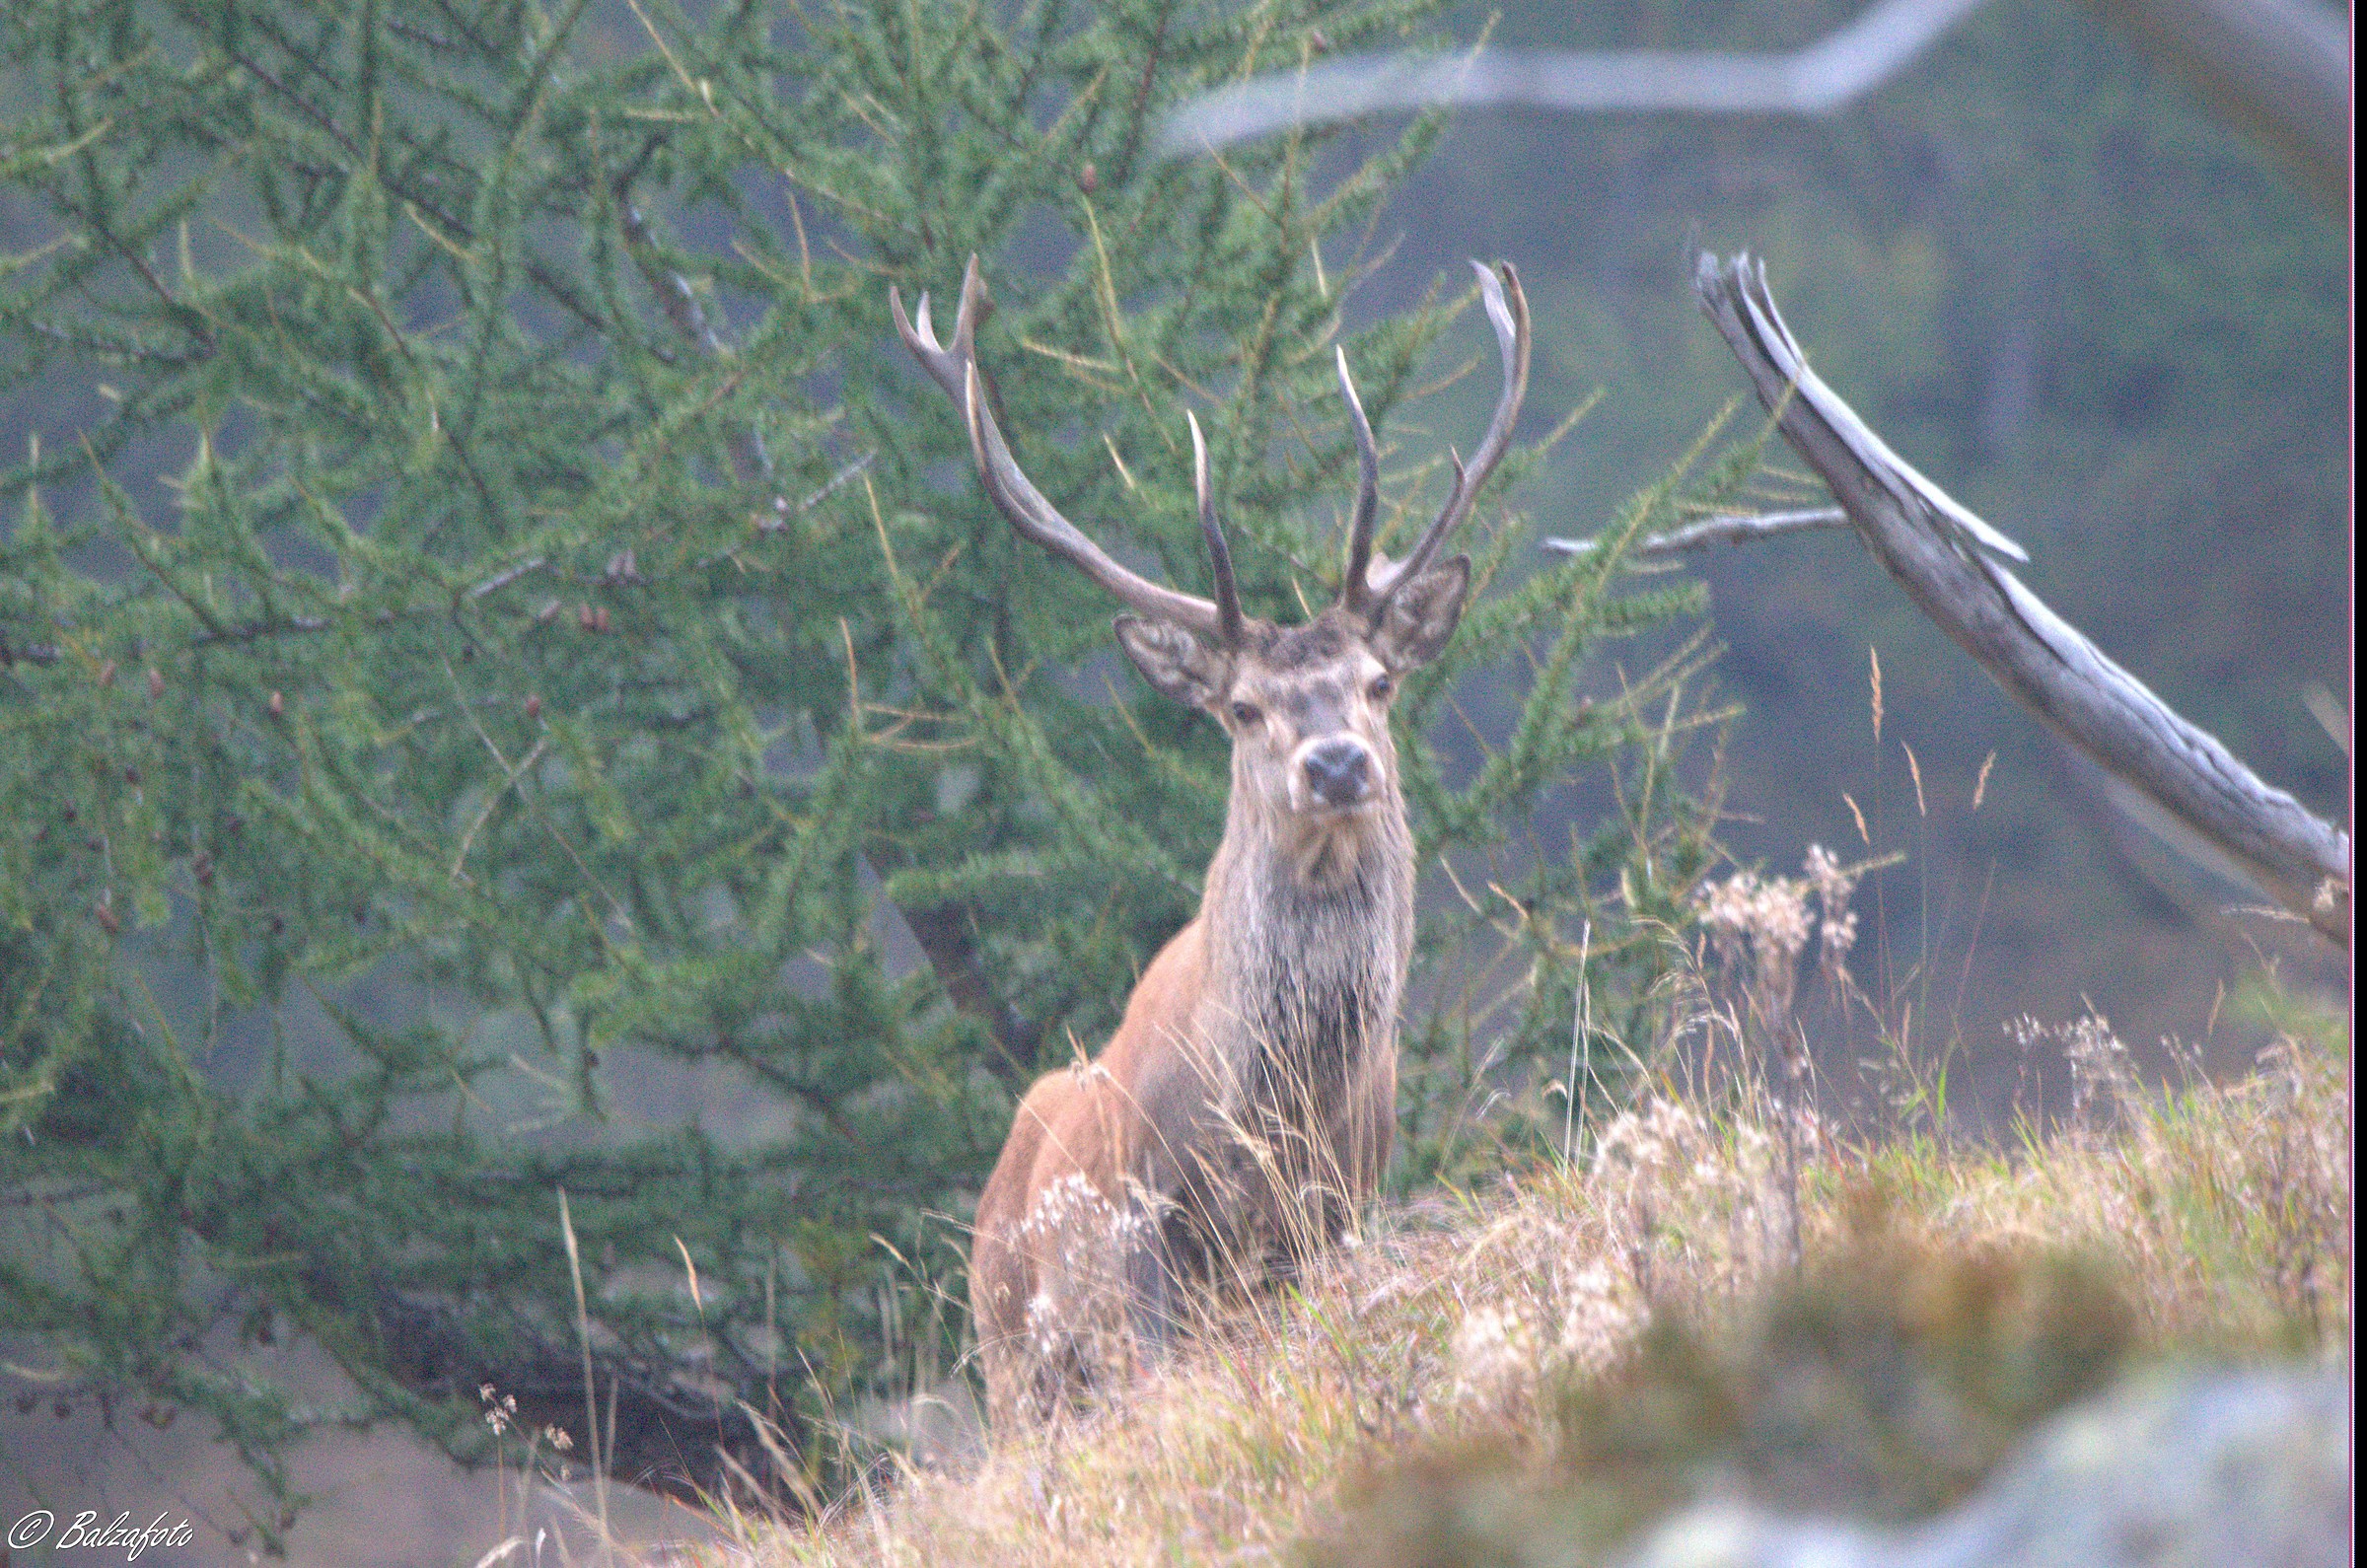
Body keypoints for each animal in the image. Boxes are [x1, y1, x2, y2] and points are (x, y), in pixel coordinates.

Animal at [891, 256, 1528, 1423]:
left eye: (1380, 681)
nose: (1336, 763)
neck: (1275, 1111)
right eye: (1240, 707)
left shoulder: (1340, 1208)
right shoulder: (1141, 1227)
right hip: (1008, 1351)